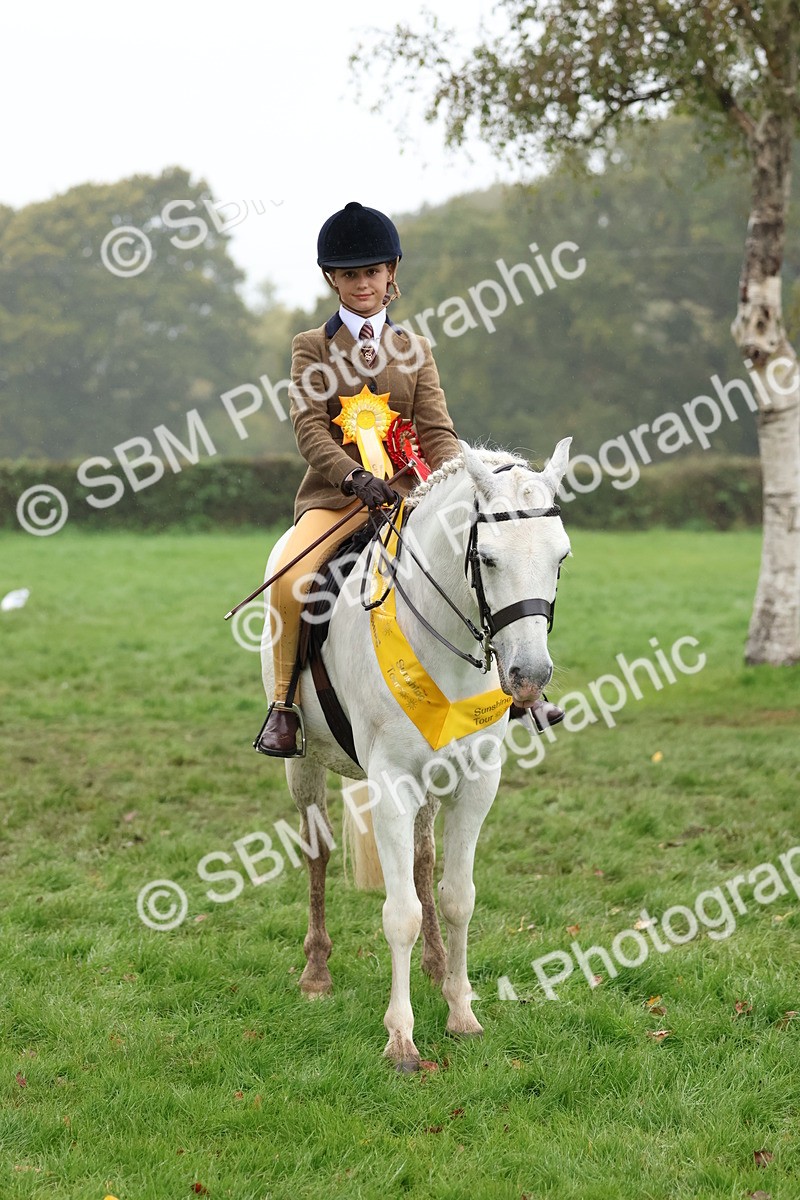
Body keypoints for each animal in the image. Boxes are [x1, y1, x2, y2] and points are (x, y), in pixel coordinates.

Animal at [260, 438, 572, 1071]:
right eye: (489, 560)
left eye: (560, 558)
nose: (529, 676)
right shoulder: (390, 784)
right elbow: (399, 911)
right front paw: (401, 1039)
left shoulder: (477, 782)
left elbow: (457, 898)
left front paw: (461, 1012)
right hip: (303, 765)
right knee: (317, 851)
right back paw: (316, 971)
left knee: (424, 860)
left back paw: (434, 966)